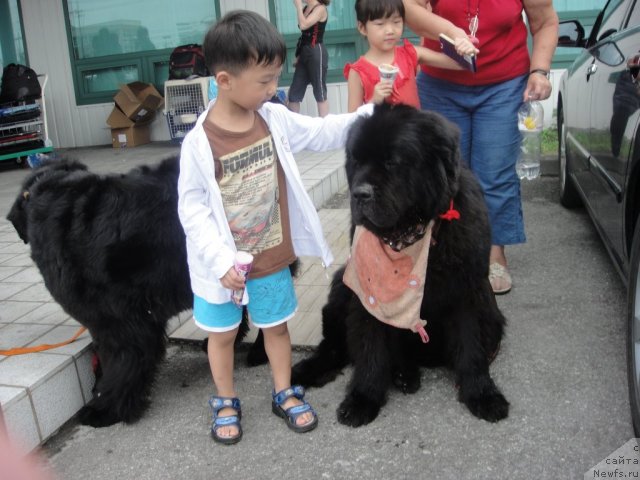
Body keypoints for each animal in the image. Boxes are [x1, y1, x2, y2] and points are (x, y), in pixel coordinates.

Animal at [294, 105, 510, 428]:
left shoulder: (468, 289)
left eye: (391, 162)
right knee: (333, 347)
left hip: (492, 313)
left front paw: (482, 394)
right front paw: (363, 398)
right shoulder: (367, 294)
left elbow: (471, 345)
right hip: (341, 286)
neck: (413, 234)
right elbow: (370, 348)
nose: (359, 194)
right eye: (356, 161)